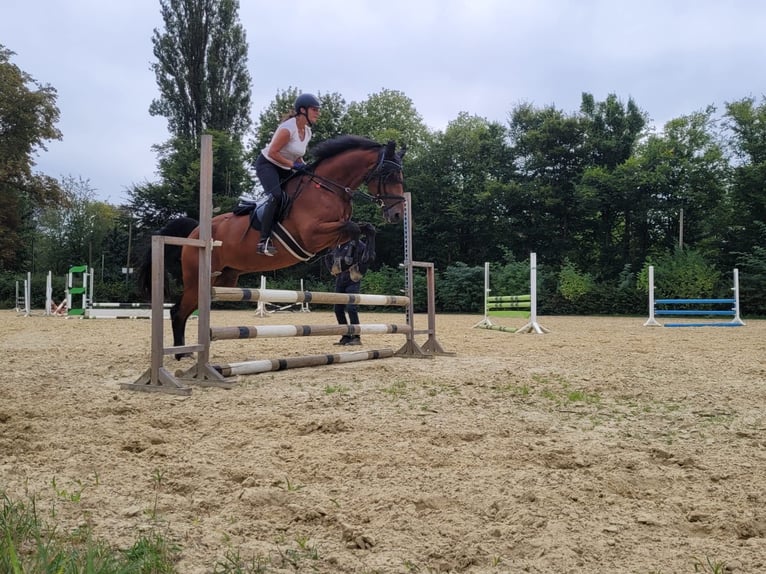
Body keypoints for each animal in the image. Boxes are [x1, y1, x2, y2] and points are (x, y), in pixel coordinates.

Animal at [141, 137, 412, 358]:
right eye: (388, 175)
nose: (398, 214)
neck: (328, 188)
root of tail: (197, 231)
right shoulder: (314, 234)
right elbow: (356, 229)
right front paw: (355, 261)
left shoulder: (332, 233)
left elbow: (367, 228)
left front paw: (364, 258)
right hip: (199, 279)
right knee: (178, 312)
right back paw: (181, 354)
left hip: (223, 279)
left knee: (186, 310)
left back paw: (185, 352)